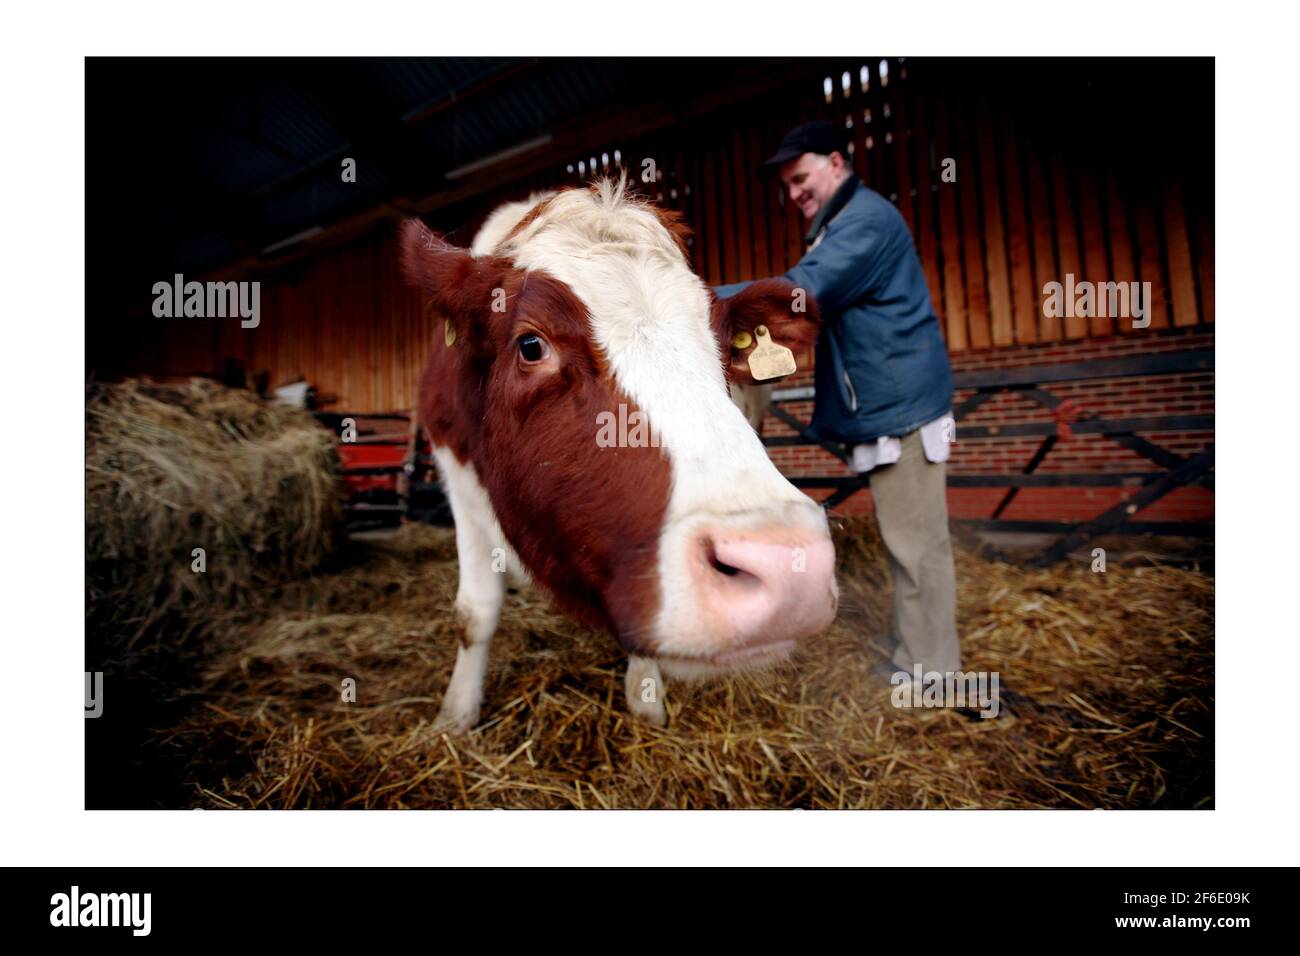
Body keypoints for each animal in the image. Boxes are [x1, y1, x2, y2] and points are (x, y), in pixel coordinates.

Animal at [400, 175, 837, 728]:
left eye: (722, 342)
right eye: (531, 345)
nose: (787, 565)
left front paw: (646, 699)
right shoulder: (457, 476)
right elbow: (474, 613)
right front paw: (455, 716)